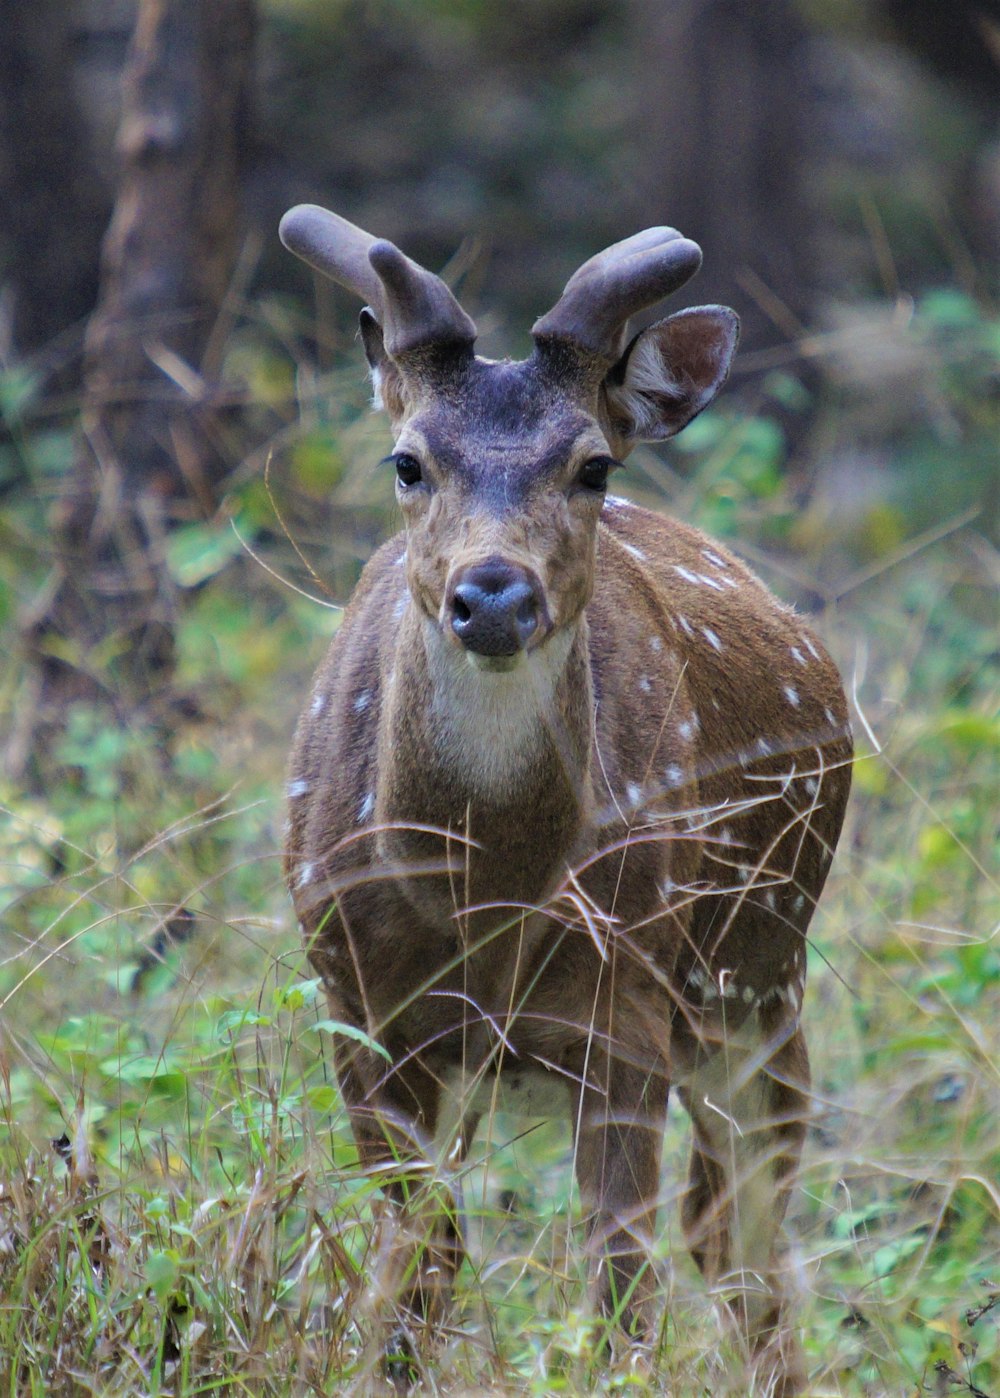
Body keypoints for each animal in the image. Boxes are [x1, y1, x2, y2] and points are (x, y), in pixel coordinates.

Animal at [279, 202, 850, 1392]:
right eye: (406, 460)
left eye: (590, 466)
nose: (493, 594)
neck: (480, 889)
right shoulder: (360, 1014)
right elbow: (416, 1267)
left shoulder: (622, 1013)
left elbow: (619, 1287)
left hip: (763, 976)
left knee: (742, 1243)